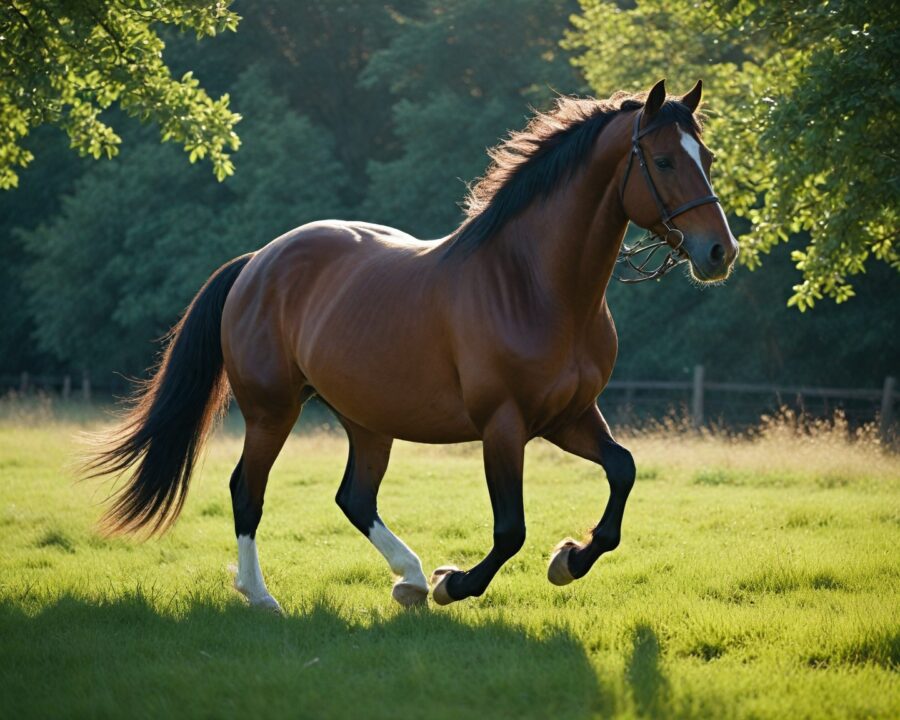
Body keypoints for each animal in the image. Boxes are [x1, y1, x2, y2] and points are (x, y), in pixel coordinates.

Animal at [86, 79, 738, 612]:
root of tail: (258, 262)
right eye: (662, 160)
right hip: (273, 411)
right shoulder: (504, 424)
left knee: (354, 498)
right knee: (248, 491)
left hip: (367, 420)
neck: (535, 285)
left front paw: (569, 560)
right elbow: (511, 530)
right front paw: (458, 583)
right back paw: (264, 595)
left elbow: (622, 471)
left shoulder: (569, 415)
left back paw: (410, 579)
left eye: (705, 158)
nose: (719, 252)